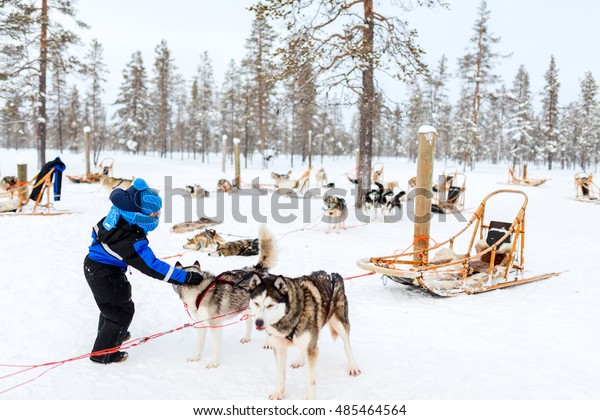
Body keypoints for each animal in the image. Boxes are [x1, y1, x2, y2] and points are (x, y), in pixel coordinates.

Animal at [172, 226, 276, 368]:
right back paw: (247, 337)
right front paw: (196, 357)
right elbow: (199, 344)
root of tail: (258, 270)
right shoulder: (201, 324)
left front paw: (214, 363)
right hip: (245, 308)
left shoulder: (215, 325)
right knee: (249, 322)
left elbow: (215, 347)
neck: (201, 291)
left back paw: (269, 343)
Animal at [248, 270, 360, 400]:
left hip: (339, 324)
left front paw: (310, 398)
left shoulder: (312, 349)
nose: (258, 322)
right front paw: (278, 392)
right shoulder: (279, 348)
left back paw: (353, 367)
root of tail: (333, 275)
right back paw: (300, 360)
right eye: (256, 303)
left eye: (270, 305)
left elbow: (311, 380)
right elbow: (280, 374)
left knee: (347, 345)